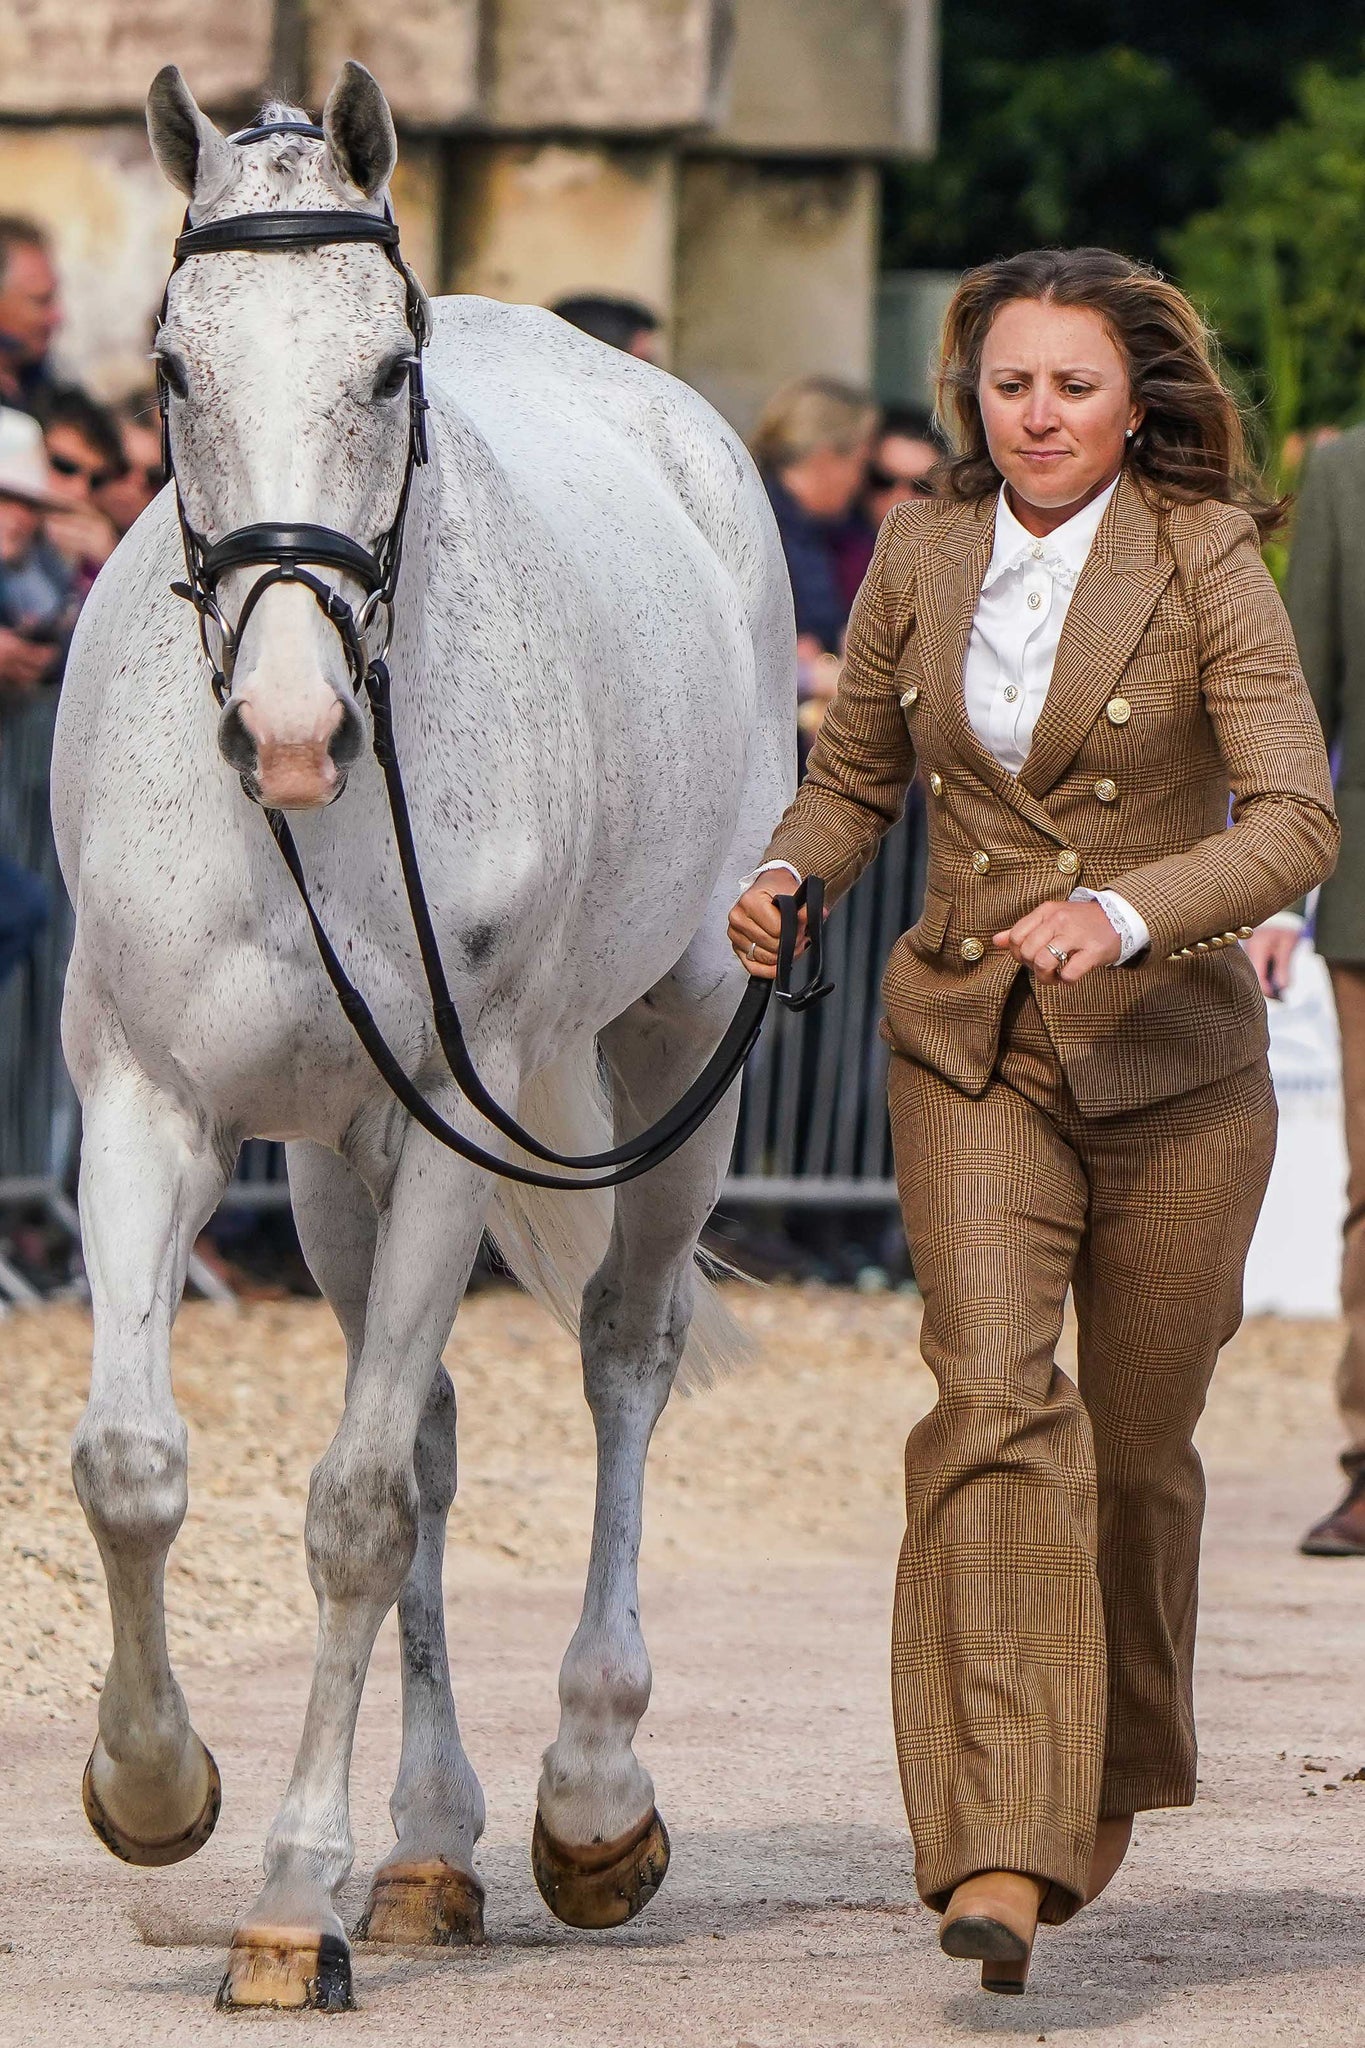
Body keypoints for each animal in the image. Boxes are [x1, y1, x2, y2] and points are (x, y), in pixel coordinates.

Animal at [53, 64, 794, 2015]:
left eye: (389, 369)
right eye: (173, 368)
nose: (292, 729)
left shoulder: (462, 1126)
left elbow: (358, 1506)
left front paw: (285, 1896)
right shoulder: (150, 1102)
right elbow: (137, 1464)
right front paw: (154, 1787)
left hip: (682, 1045)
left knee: (621, 1350)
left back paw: (589, 1799)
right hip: (333, 1159)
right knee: (449, 1421)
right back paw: (431, 1846)